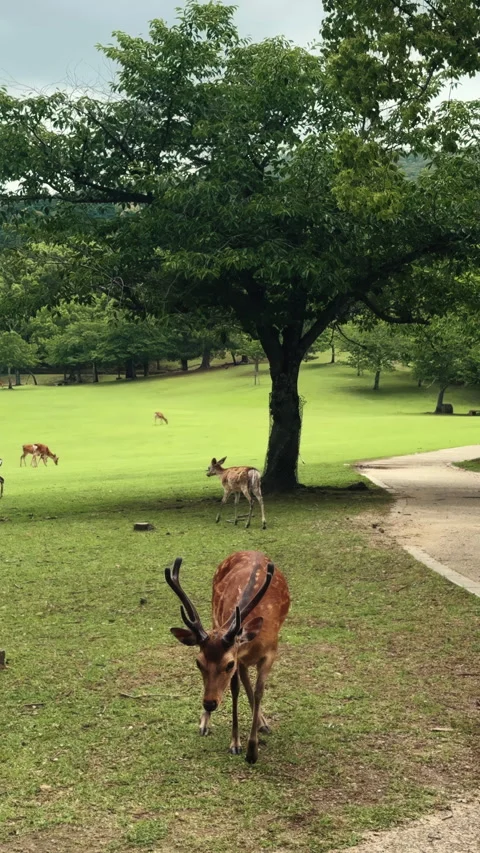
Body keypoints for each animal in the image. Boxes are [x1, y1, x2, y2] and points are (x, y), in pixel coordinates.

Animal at [166, 550, 290, 764]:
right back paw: (206, 723)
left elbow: (258, 691)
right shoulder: (239, 656)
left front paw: (252, 750)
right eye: (198, 662)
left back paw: (262, 723)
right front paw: (236, 744)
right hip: (214, 613)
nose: (209, 703)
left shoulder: (269, 652)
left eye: (228, 664)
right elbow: (236, 690)